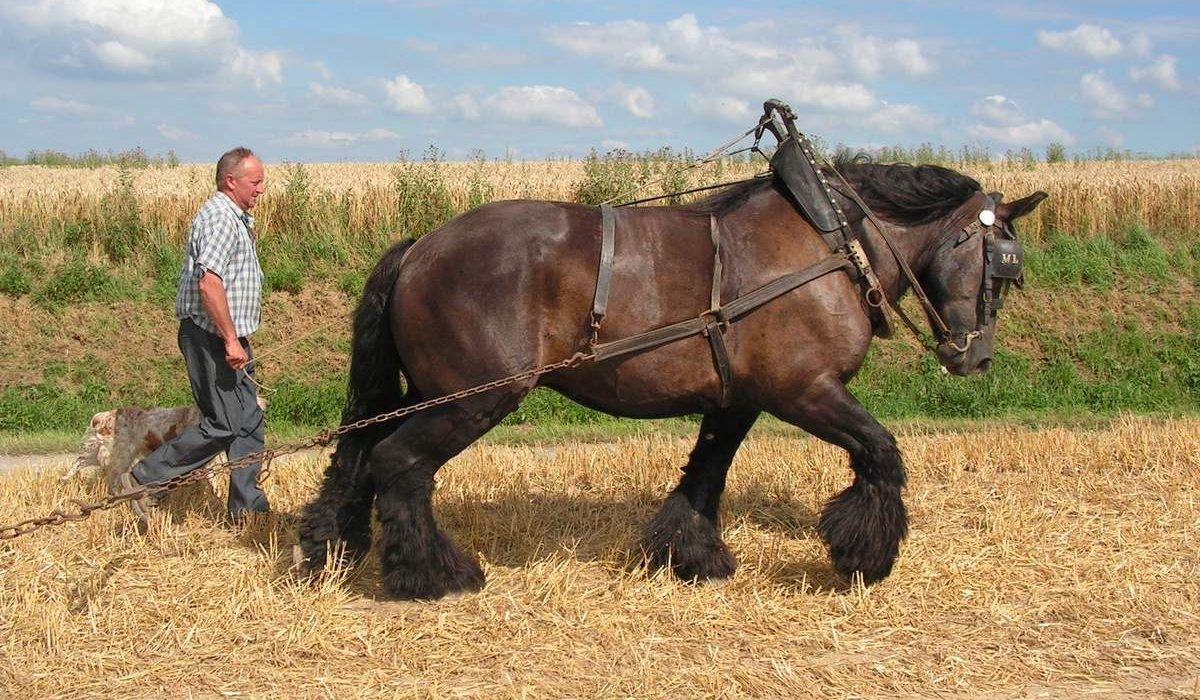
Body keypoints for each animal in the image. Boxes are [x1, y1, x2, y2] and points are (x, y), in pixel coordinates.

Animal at [296, 155, 1048, 600]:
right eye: (1001, 266)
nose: (975, 356)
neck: (831, 244)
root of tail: (419, 246)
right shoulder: (806, 391)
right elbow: (881, 452)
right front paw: (866, 554)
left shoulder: (738, 399)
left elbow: (705, 473)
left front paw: (690, 555)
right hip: (477, 397)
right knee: (401, 461)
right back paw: (430, 573)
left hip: (426, 392)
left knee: (361, 453)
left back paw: (335, 545)